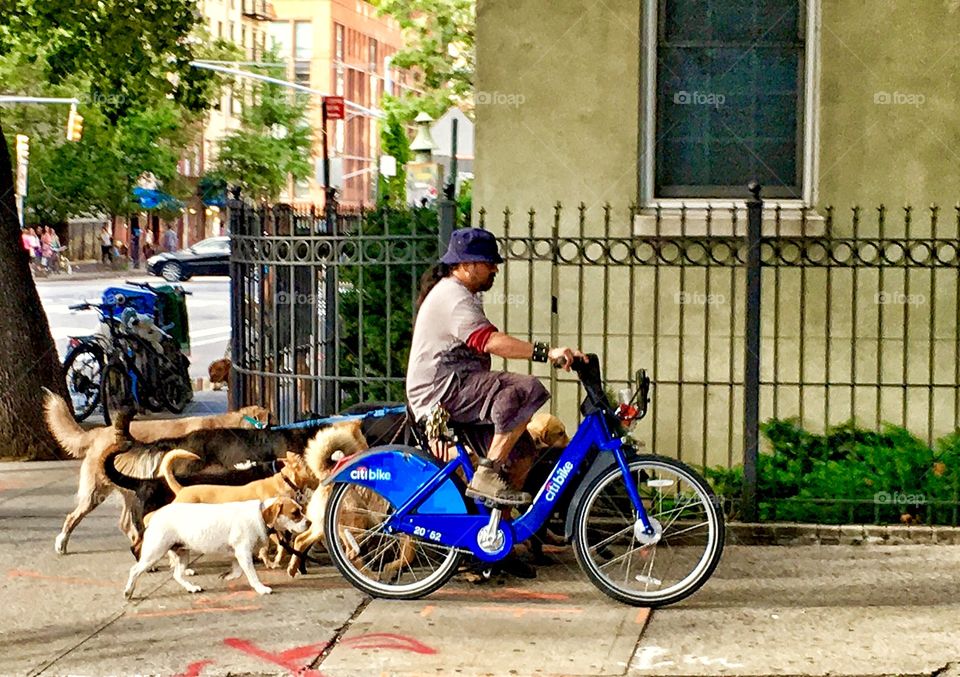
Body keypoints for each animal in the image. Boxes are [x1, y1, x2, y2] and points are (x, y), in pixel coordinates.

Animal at [43, 386, 270, 556]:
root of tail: (97, 433)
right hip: (96, 491)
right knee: (73, 516)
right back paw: (62, 544)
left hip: (130, 492)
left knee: (126, 524)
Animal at [123, 496, 304, 596]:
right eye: (295, 513)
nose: (308, 522)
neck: (260, 514)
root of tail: (156, 516)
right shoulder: (243, 552)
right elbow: (252, 574)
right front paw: (260, 588)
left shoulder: (238, 554)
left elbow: (237, 571)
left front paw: (228, 576)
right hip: (155, 552)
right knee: (134, 570)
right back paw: (128, 591)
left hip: (182, 553)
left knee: (177, 575)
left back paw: (191, 587)